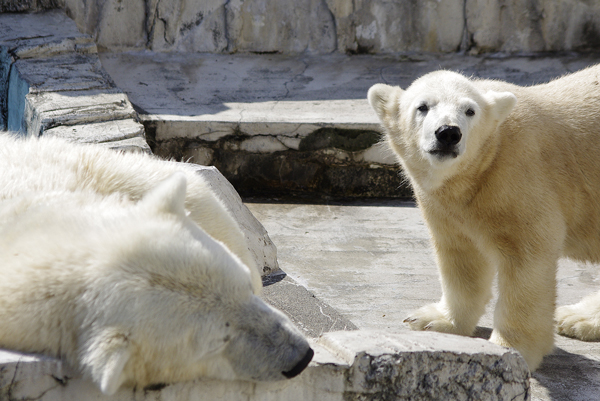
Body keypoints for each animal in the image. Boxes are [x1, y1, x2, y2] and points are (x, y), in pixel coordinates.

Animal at [368, 65, 600, 368]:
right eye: (423, 106)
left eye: (470, 110)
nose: (448, 133)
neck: (486, 161)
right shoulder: (449, 206)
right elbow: (462, 258)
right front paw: (434, 319)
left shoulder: (520, 178)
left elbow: (527, 262)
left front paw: (510, 350)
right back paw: (577, 317)